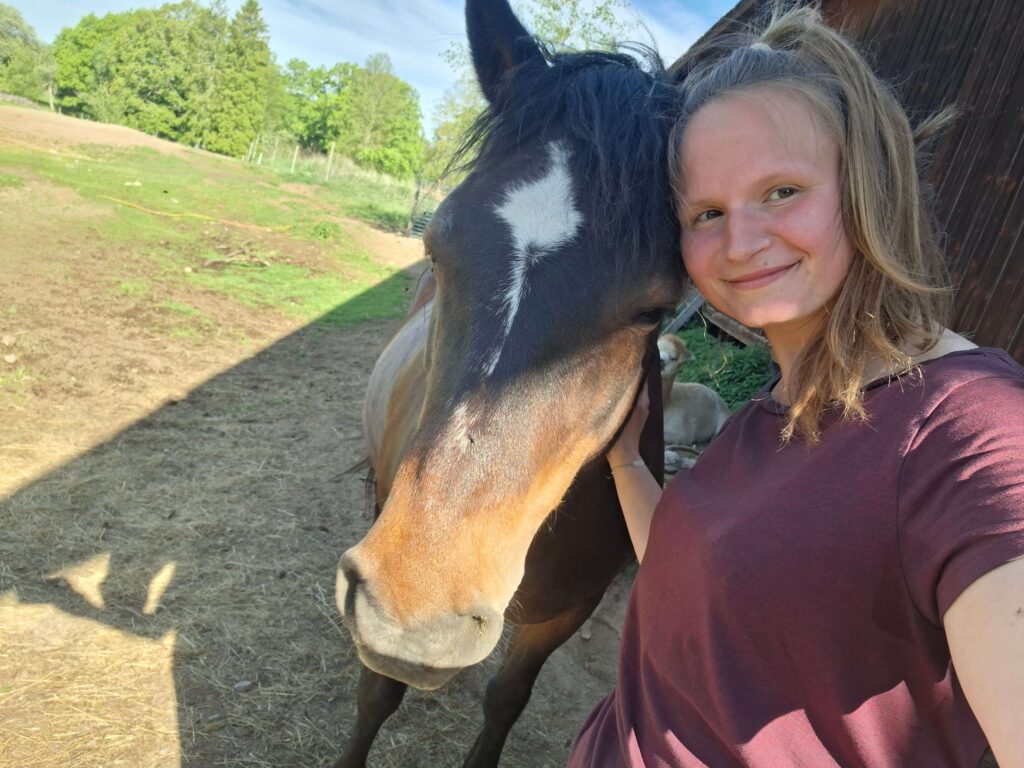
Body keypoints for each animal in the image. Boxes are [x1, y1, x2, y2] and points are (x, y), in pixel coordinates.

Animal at [334, 0, 684, 764]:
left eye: (655, 308)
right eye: (436, 246)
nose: (417, 616)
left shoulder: (565, 614)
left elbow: (506, 699)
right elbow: (376, 695)